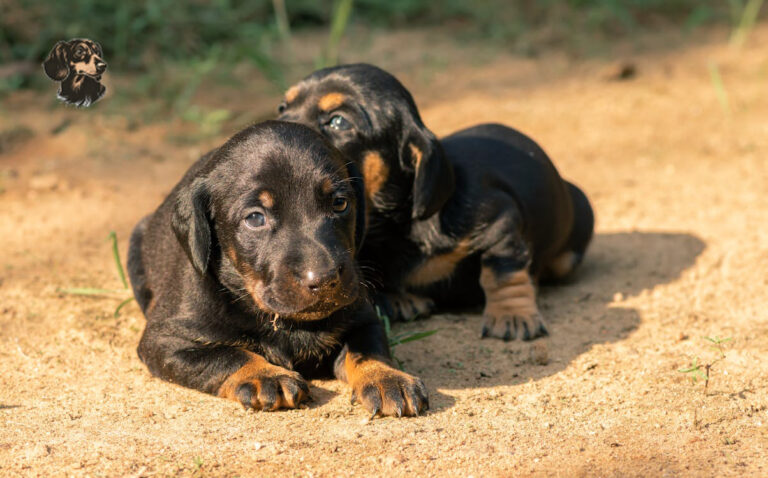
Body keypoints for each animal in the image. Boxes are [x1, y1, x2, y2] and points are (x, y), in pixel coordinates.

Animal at [126, 121, 426, 416]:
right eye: (255, 218)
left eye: (340, 203)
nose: (325, 279)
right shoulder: (165, 340)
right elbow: (228, 355)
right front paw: (266, 375)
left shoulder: (362, 317)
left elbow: (368, 350)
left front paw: (386, 377)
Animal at [276, 66, 592, 344]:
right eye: (282, 107)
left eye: (338, 121)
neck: (393, 224)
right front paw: (399, 298)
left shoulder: (500, 222)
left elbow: (503, 271)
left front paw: (512, 315)